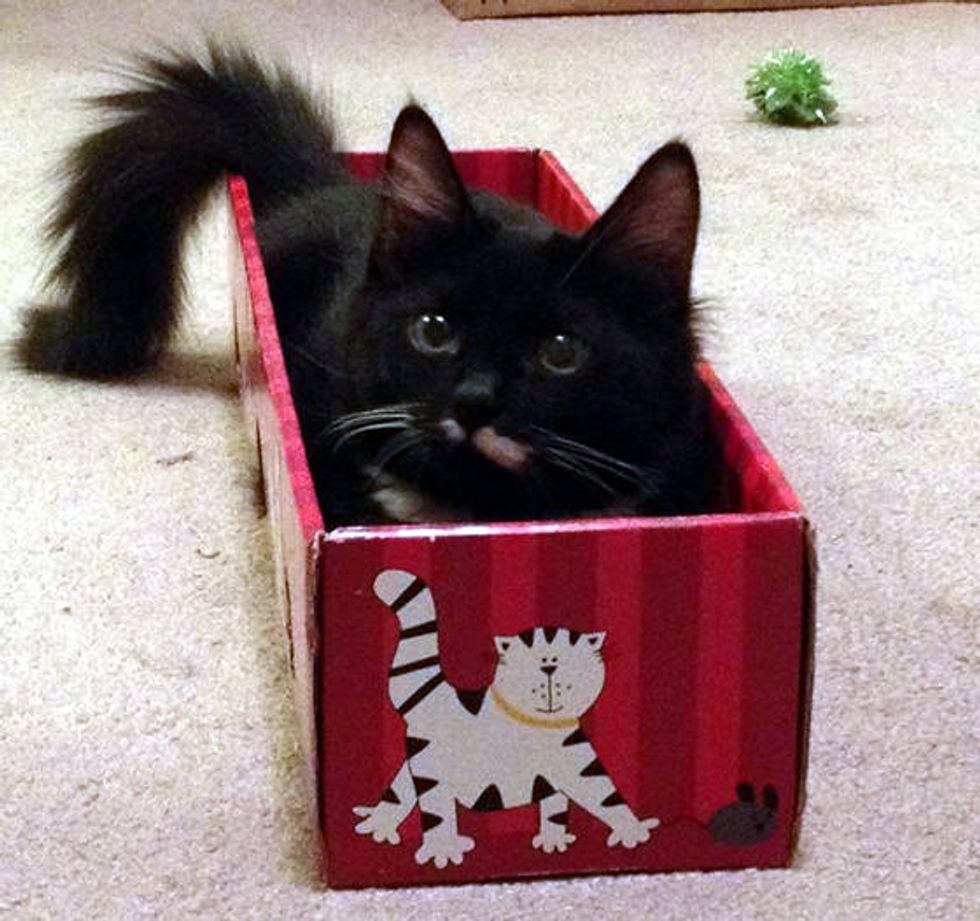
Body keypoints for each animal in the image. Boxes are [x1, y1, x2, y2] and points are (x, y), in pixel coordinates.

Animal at [354, 569, 658, 868]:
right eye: (531, 655)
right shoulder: (579, 769)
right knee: (435, 809)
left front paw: (554, 841)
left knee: (400, 788)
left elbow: (559, 806)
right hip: (433, 769)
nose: (549, 664)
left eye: (568, 651)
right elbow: (605, 797)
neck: (535, 723)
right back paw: (442, 849)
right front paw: (632, 831)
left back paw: (379, 826)